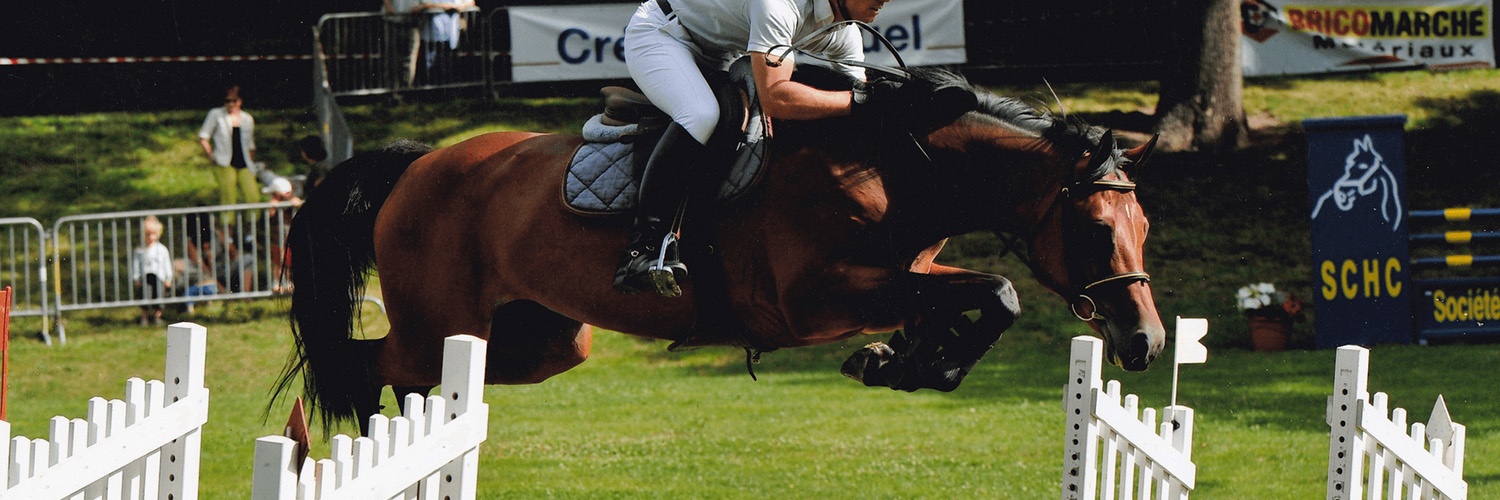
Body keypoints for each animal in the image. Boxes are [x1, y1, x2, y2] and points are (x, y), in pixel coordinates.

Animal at [282, 67, 1170, 429]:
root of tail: (419, 163)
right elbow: (998, 290)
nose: (1147, 342)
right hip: (439, 320)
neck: (895, 160)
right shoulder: (814, 299)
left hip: (539, 337)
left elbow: (984, 296)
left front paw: (901, 363)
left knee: (417, 372)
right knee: (374, 366)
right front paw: (910, 361)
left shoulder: (906, 272)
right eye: (1097, 230)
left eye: (1145, 230)